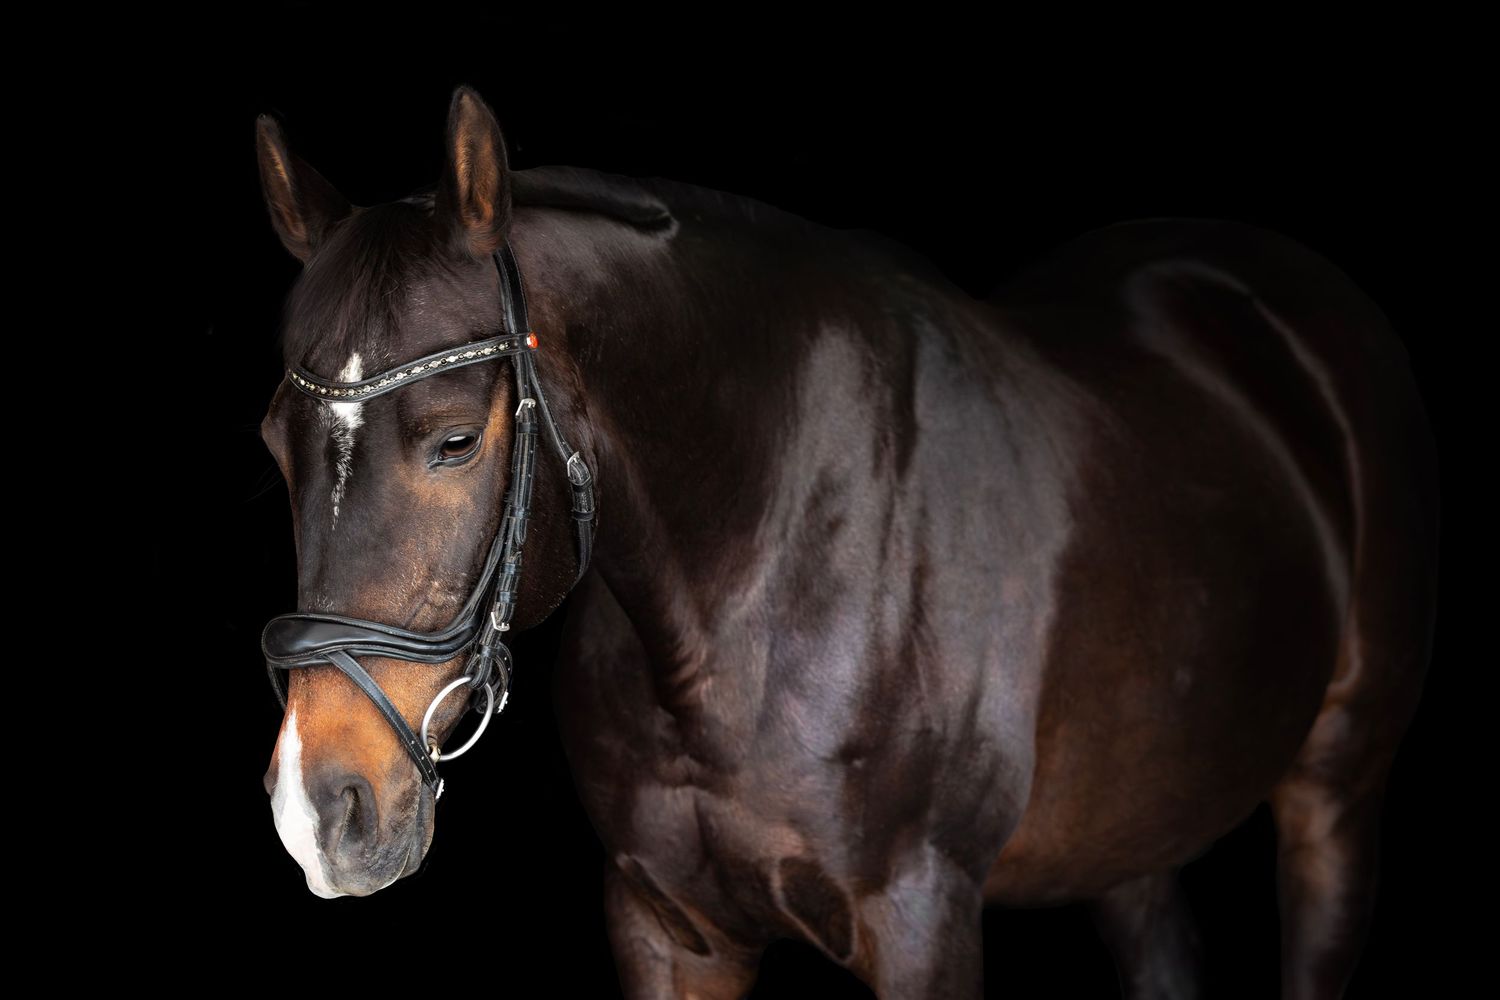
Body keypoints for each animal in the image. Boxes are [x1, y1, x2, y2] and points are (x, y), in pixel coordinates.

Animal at [253, 85, 1439, 999]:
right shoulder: (668, 926)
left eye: (454, 439)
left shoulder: (921, 920)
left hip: (1334, 796)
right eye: (272, 441)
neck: (759, 574)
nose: (321, 809)